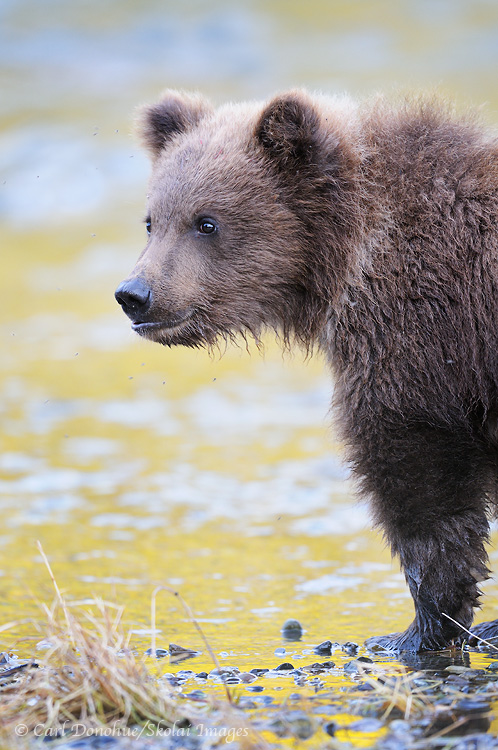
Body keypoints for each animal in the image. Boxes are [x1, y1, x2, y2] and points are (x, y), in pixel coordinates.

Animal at [115, 89, 498, 653]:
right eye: (151, 220)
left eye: (206, 222)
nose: (134, 294)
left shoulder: (423, 335)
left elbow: (416, 467)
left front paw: (418, 629)